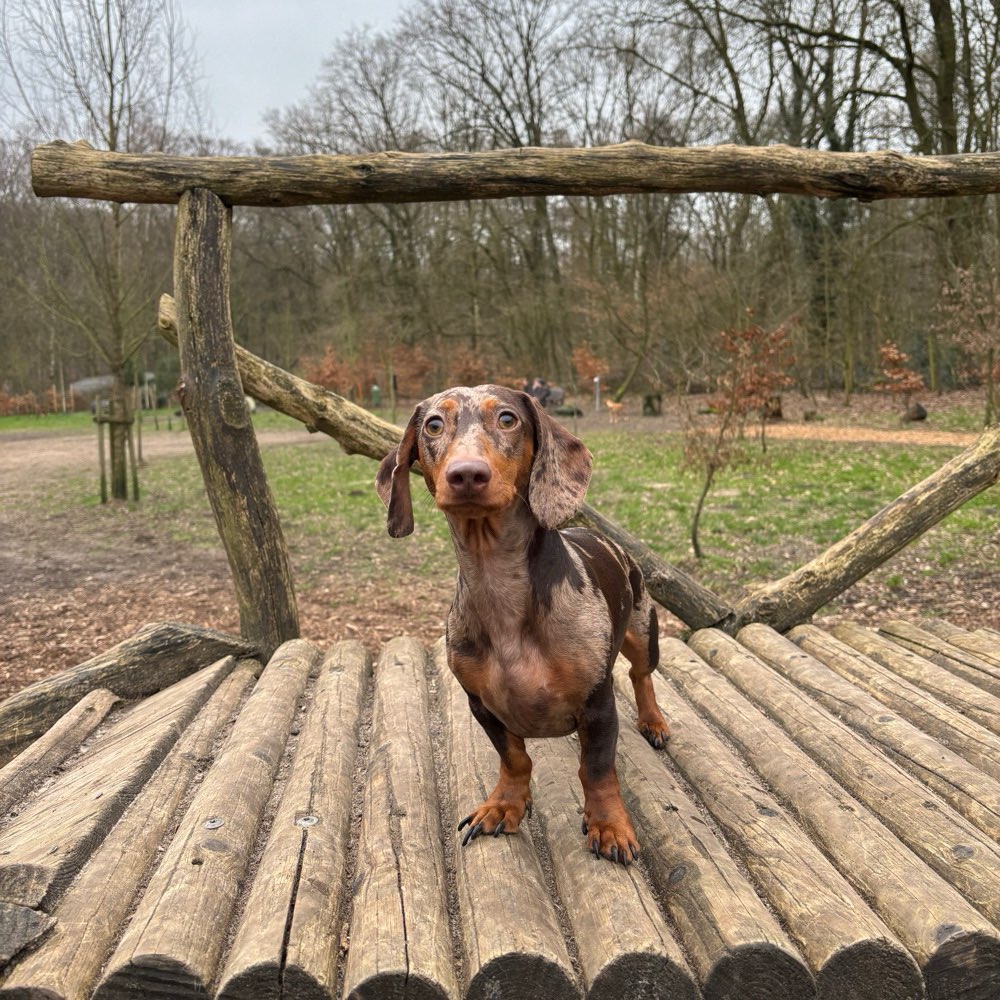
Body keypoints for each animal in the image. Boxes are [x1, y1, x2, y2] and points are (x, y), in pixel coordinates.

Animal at [376, 386, 672, 864]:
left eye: (508, 419)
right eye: (434, 425)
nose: (466, 475)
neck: (501, 589)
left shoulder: (598, 704)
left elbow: (596, 769)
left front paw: (609, 824)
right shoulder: (481, 704)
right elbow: (515, 760)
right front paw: (505, 805)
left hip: (644, 631)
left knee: (641, 675)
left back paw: (654, 722)